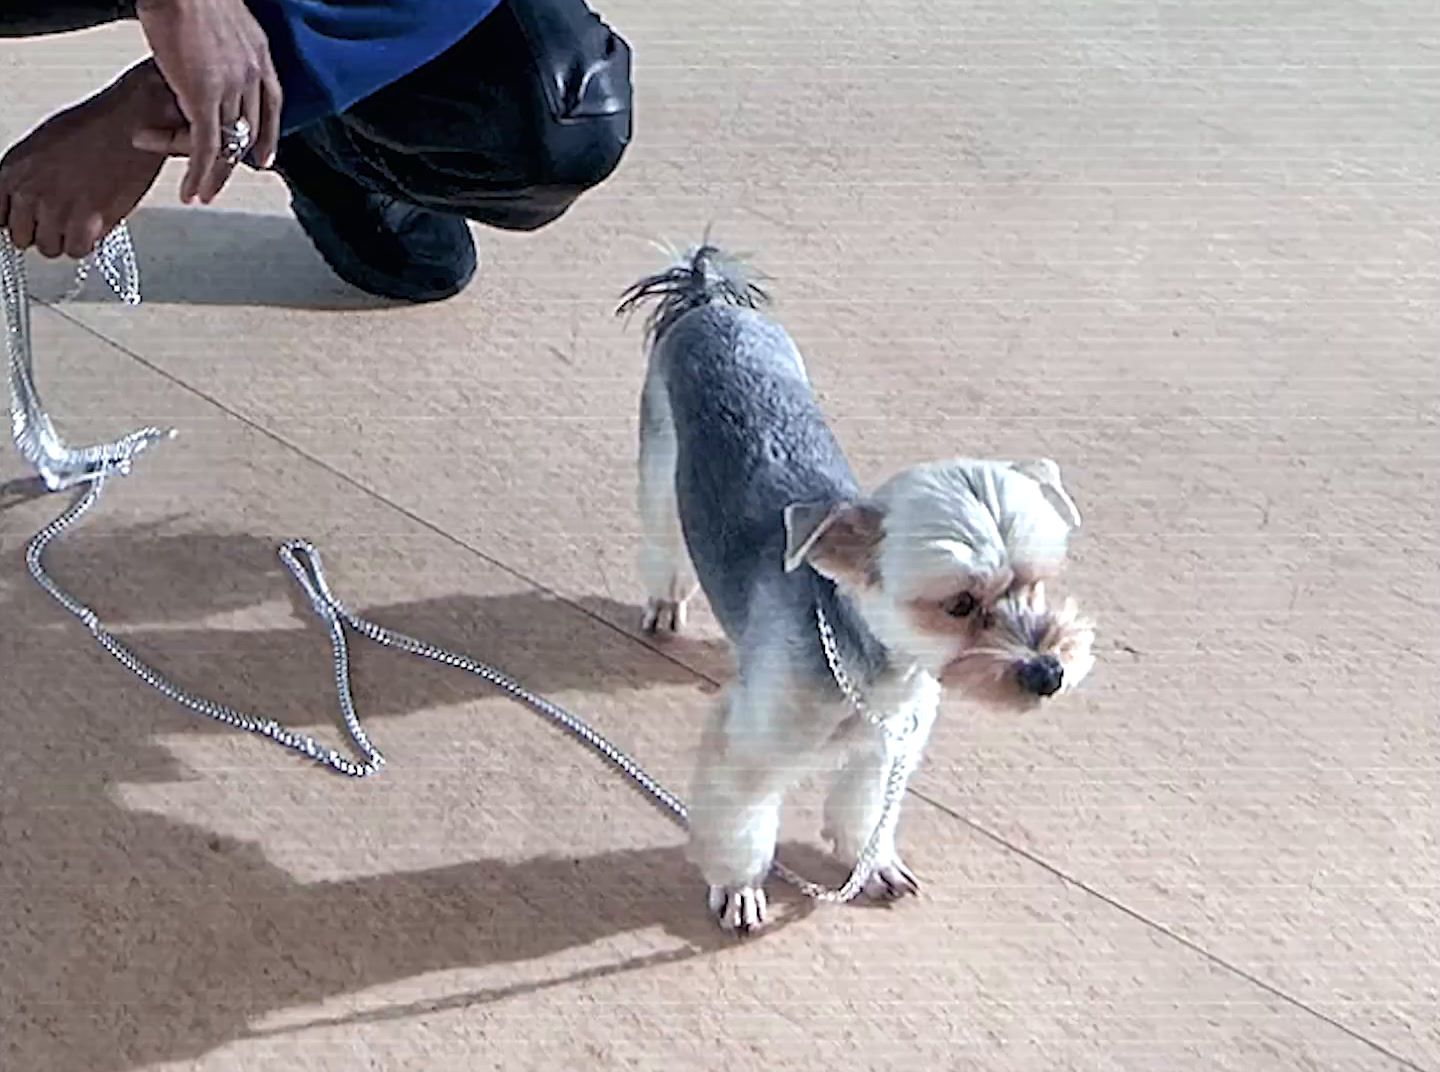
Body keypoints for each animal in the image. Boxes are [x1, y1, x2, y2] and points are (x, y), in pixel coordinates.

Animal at [613, 243, 1094, 927]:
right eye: (959, 604)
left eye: (1037, 584)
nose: (1049, 672)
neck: (876, 670)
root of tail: (707, 298)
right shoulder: (749, 752)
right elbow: (740, 826)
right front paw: (739, 888)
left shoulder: (887, 748)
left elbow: (865, 811)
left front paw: (872, 864)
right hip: (660, 469)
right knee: (663, 541)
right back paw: (663, 603)